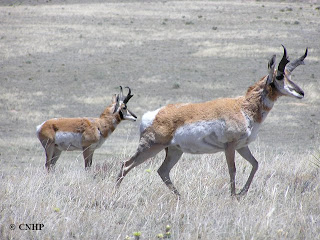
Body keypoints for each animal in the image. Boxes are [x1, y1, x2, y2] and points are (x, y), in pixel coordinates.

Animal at [117, 46, 308, 196]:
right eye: (280, 76)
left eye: (290, 74)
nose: (301, 93)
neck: (242, 107)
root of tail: (153, 114)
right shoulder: (230, 147)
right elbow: (232, 170)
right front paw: (233, 197)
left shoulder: (242, 146)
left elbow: (255, 164)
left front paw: (242, 192)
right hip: (150, 148)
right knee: (126, 165)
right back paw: (115, 193)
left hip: (174, 151)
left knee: (162, 171)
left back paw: (181, 197)